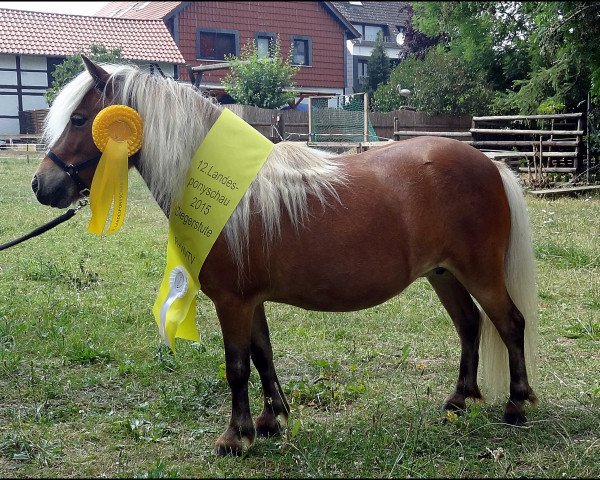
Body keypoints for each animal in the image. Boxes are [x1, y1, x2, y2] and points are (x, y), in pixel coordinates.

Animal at [31, 57, 540, 458]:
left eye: (80, 120)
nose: (41, 186)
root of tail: (490, 164)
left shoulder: (232, 302)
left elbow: (237, 366)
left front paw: (235, 437)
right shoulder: (250, 301)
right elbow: (262, 355)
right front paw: (270, 419)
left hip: (480, 273)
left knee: (509, 323)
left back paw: (516, 405)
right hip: (443, 274)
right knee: (470, 325)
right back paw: (458, 400)